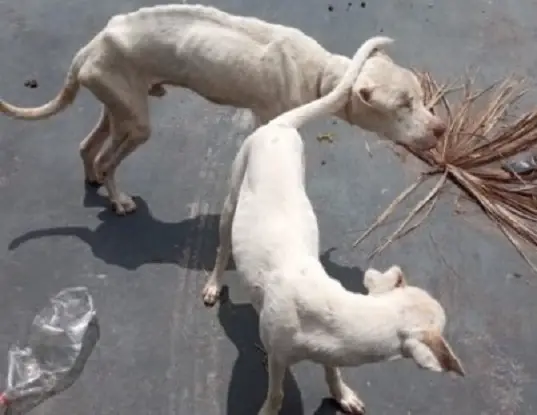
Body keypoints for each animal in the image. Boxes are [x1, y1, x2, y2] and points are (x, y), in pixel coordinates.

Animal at [0, 4, 444, 214]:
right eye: (403, 104)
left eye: (420, 98)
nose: (440, 129)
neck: (323, 73)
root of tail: (89, 46)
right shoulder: (269, 121)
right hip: (136, 122)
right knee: (109, 159)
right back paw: (119, 200)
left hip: (119, 106)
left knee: (87, 147)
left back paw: (94, 179)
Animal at [200, 35, 460, 415]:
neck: (337, 315)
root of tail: (280, 126)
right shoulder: (278, 357)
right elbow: (276, 393)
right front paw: (270, 408)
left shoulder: (333, 352)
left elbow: (332, 371)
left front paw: (342, 395)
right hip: (232, 202)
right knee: (221, 249)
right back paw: (213, 284)